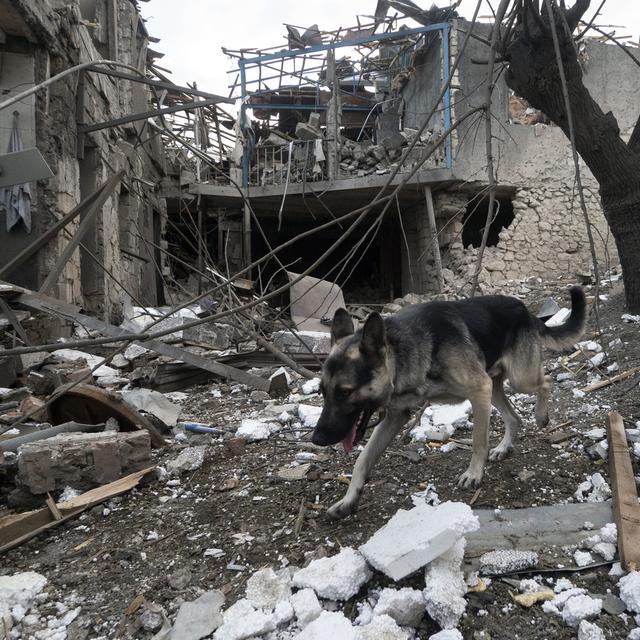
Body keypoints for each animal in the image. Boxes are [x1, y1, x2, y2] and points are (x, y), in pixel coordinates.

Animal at [310, 288, 584, 516]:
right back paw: (504, 447)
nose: (317, 439)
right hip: (494, 389)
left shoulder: (478, 390)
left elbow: (478, 442)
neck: (408, 350)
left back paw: (541, 415)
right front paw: (348, 500)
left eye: (345, 392)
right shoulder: (395, 417)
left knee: (545, 382)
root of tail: (524, 309)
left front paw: (473, 474)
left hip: (518, 379)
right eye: (323, 391)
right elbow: (362, 460)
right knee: (514, 417)